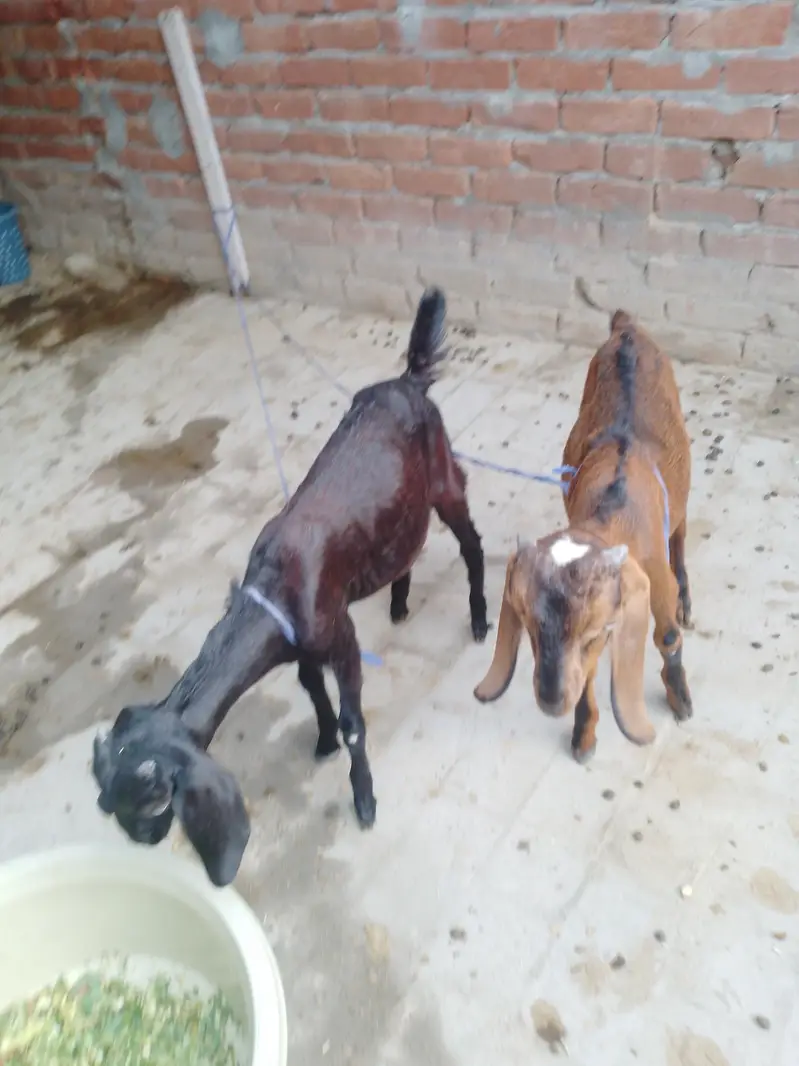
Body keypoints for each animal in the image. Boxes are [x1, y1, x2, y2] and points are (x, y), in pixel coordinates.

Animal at [93, 288, 488, 886]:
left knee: (470, 542)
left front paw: (365, 802)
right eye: (112, 806)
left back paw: (480, 619)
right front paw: (322, 741)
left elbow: (352, 721)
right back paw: (398, 601)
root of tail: (408, 380)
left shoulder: (341, 636)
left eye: (151, 803)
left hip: (444, 476)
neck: (273, 590)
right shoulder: (299, 645)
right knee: (408, 542)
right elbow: (310, 687)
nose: (144, 841)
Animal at [473, 310, 693, 763]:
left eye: (594, 632)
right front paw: (584, 733)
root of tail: (625, 328)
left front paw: (681, 700)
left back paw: (686, 596)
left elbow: (666, 636)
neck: (611, 510)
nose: (551, 699)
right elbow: (588, 677)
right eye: (528, 625)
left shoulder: (652, 575)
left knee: (680, 526)